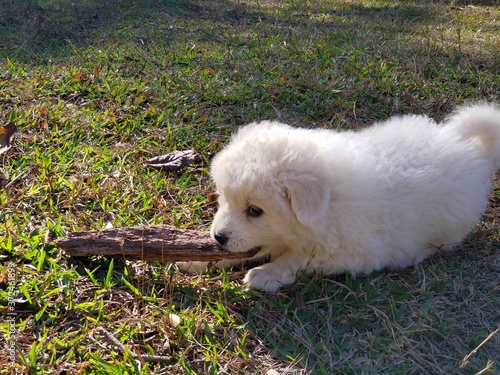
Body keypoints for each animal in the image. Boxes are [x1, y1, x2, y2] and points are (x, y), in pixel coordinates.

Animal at [203, 103, 500, 294]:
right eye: (223, 198)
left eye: (255, 210)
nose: (219, 236)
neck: (328, 204)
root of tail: (463, 145)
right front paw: (197, 260)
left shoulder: (348, 252)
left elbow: (296, 259)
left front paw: (266, 274)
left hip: (445, 229)